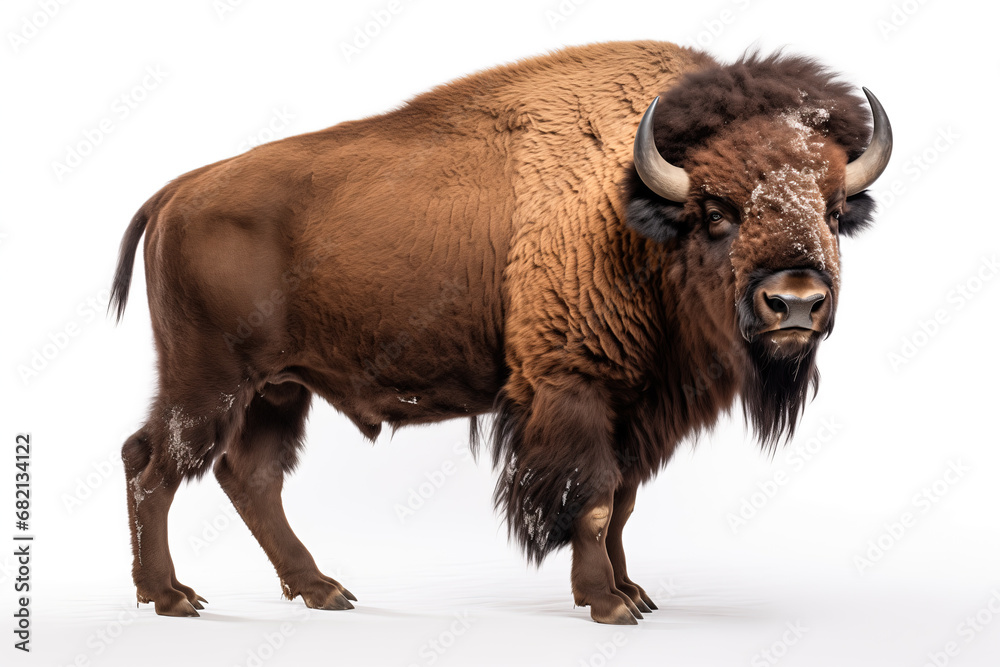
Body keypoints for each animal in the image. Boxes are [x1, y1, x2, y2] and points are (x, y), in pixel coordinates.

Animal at [111, 40, 891, 624]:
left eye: (833, 209)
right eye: (717, 212)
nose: (795, 302)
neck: (630, 210)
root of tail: (175, 192)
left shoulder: (637, 408)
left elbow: (623, 502)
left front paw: (633, 591)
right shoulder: (575, 388)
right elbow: (595, 498)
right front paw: (609, 603)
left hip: (278, 388)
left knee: (248, 476)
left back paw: (321, 590)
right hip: (210, 380)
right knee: (154, 463)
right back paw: (173, 597)